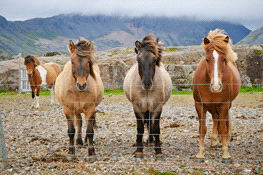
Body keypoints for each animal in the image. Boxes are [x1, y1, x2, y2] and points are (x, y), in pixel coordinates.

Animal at [193, 28, 242, 159]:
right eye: (207, 59)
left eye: (224, 59)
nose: (216, 87)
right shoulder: (200, 104)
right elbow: (202, 128)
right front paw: (200, 153)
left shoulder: (224, 104)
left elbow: (223, 128)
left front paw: (225, 154)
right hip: (212, 106)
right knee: (216, 119)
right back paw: (214, 140)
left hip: (224, 105)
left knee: (221, 121)